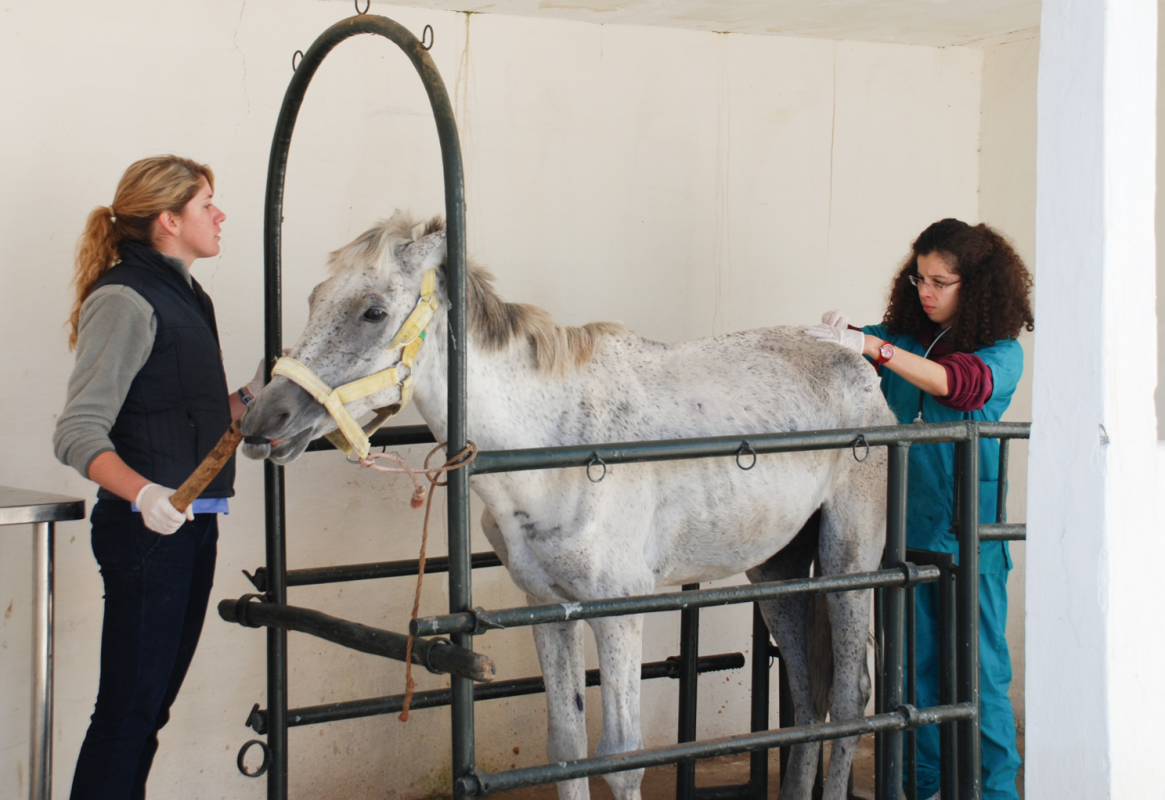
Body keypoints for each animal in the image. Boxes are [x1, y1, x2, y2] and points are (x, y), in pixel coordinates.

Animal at [238, 213, 890, 800]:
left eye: (372, 311)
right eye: (314, 298)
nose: (260, 423)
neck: (551, 447)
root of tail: (862, 372)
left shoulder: (620, 610)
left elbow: (620, 759)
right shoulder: (548, 606)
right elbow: (567, 748)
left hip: (848, 562)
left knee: (850, 699)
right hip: (776, 571)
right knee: (807, 695)